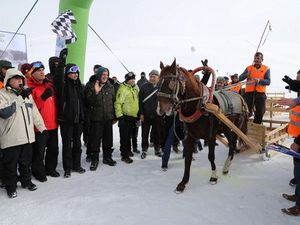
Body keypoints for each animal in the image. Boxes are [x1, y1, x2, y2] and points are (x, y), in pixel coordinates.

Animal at [157, 59, 248, 192]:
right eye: (158, 82)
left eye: (172, 82)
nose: (161, 109)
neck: (199, 105)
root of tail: (241, 97)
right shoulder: (189, 136)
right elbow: (188, 158)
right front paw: (183, 183)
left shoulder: (211, 136)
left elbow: (211, 156)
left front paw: (213, 177)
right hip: (225, 128)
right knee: (231, 144)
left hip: (236, 126)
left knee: (233, 144)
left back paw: (226, 166)